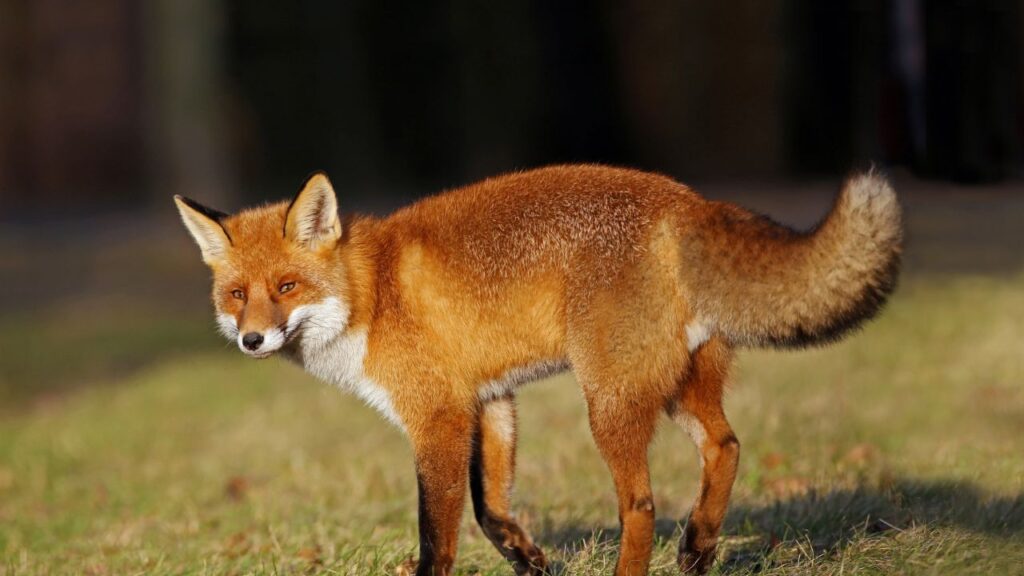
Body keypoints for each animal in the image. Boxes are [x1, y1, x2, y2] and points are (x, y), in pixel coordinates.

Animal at [174, 164, 901, 576]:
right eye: (237, 295)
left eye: (287, 286)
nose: (252, 339)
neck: (371, 295)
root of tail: (687, 202)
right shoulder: (490, 402)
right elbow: (491, 510)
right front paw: (530, 560)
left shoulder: (437, 416)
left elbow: (437, 535)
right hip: (676, 388)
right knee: (726, 447)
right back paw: (697, 549)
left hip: (607, 401)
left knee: (641, 504)